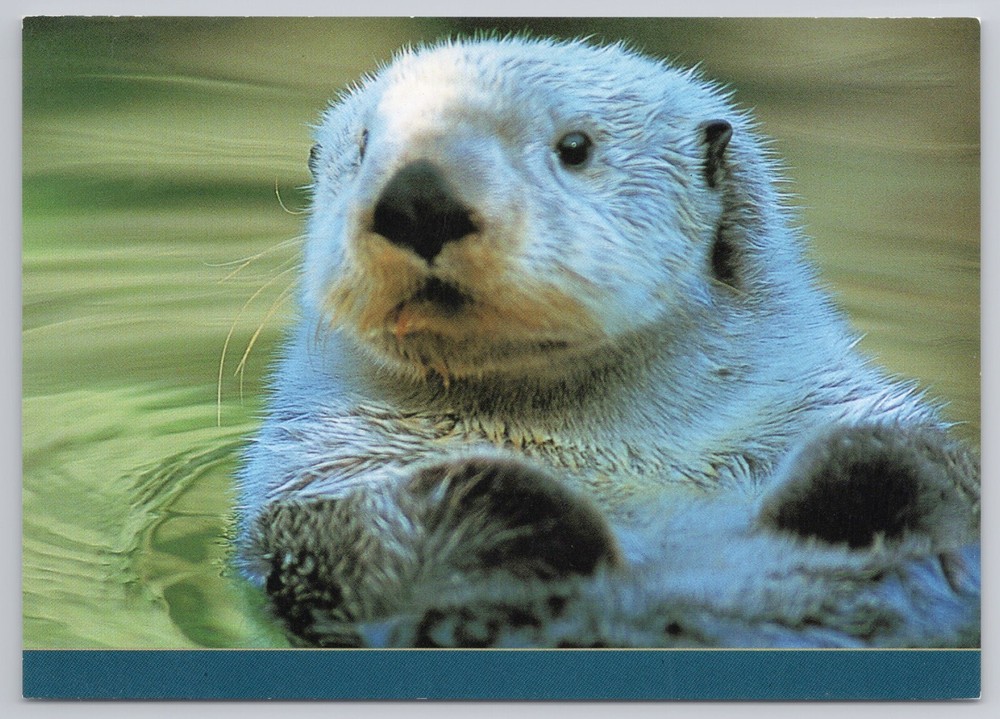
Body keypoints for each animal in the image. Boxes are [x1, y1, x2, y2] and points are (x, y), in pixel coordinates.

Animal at [236, 37, 979, 648]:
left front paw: (856, 472)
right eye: (362, 149)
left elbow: (925, 466)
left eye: (575, 147)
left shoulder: (820, 402)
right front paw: (507, 506)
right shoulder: (322, 469)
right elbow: (381, 529)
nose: (419, 196)